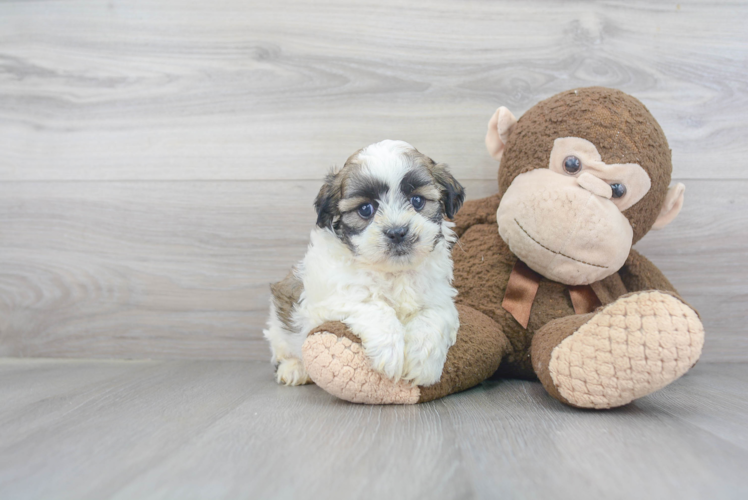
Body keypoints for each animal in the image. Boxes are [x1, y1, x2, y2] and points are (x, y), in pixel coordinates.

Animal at [262, 140, 462, 386]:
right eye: (366, 209)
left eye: (417, 201)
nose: (397, 232)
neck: (394, 273)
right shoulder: (328, 300)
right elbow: (373, 306)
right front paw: (390, 352)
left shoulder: (439, 297)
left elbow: (434, 316)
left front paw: (422, 363)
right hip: (279, 330)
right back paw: (294, 369)